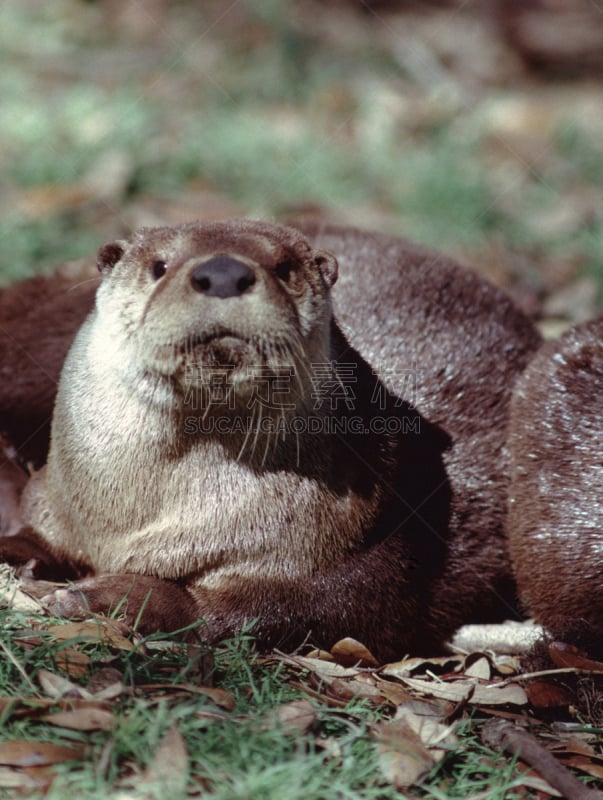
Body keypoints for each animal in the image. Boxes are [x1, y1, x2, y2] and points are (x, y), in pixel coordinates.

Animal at [0, 217, 544, 656]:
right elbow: (38, 526)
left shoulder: (376, 539)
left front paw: (115, 597)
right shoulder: (58, 497)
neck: (137, 522)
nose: (223, 273)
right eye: (159, 266)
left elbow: (324, 603)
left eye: (283, 267)